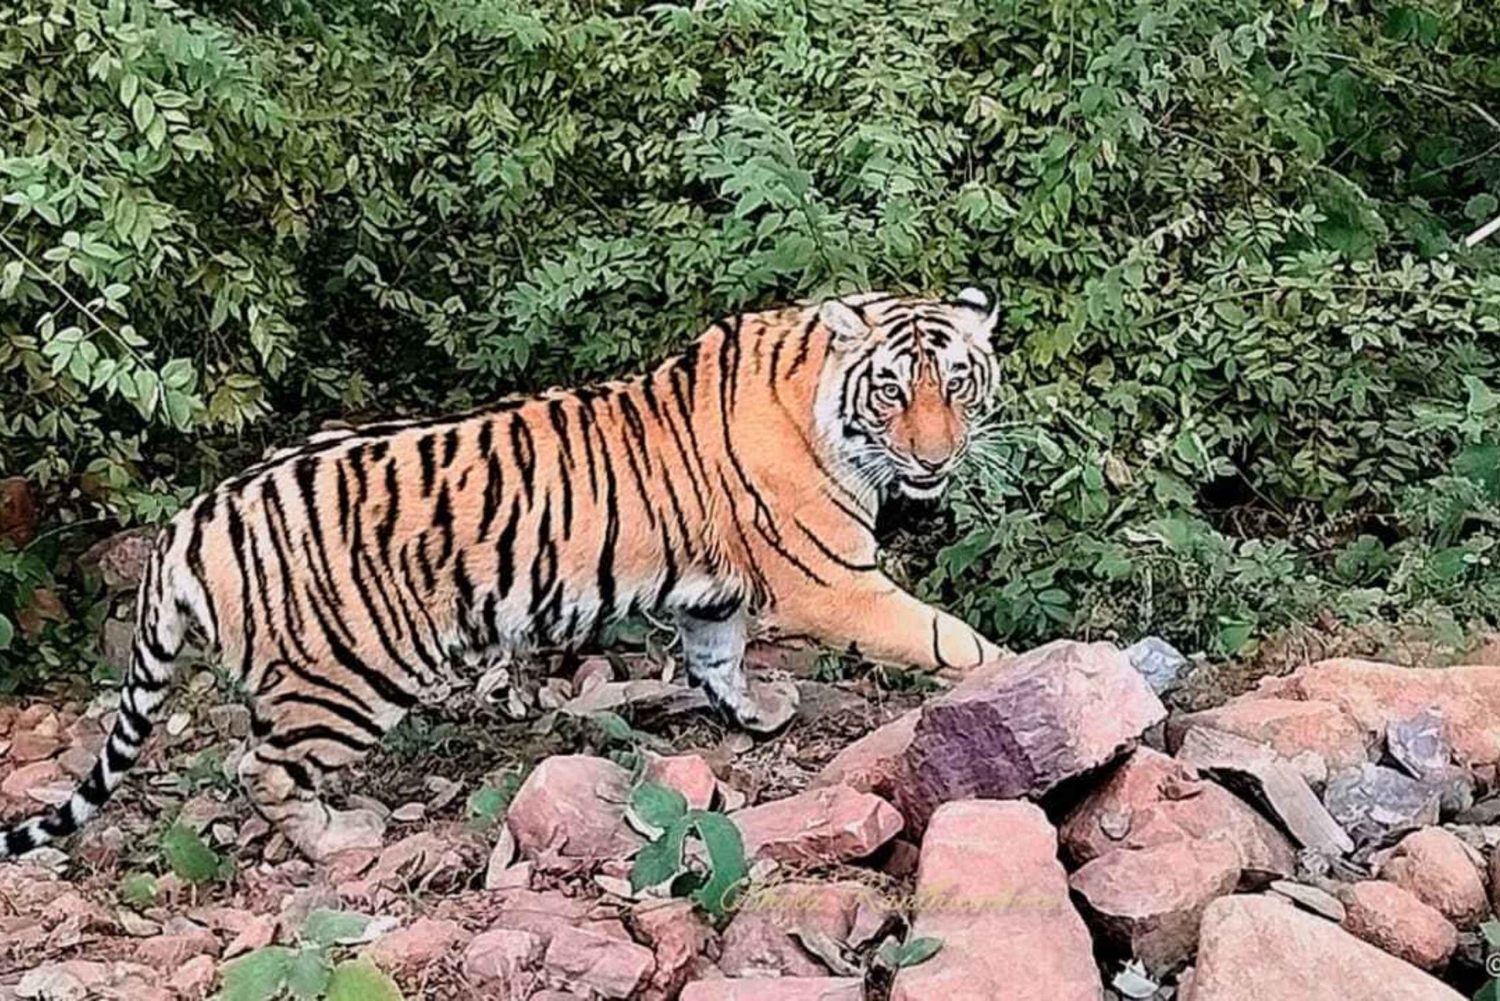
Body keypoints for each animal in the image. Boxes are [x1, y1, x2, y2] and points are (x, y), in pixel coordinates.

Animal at [0, 288, 1005, 862]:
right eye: (892, 389)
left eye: (956, 382)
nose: (936, 457)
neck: (819, 399)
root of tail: (190, 520)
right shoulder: (833, 577)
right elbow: (945, 636)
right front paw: (1015, 670)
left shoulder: (715, 595)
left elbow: (716, 655)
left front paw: (757, 714)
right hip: (350, 676)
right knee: (264, 767)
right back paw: (340, 838)